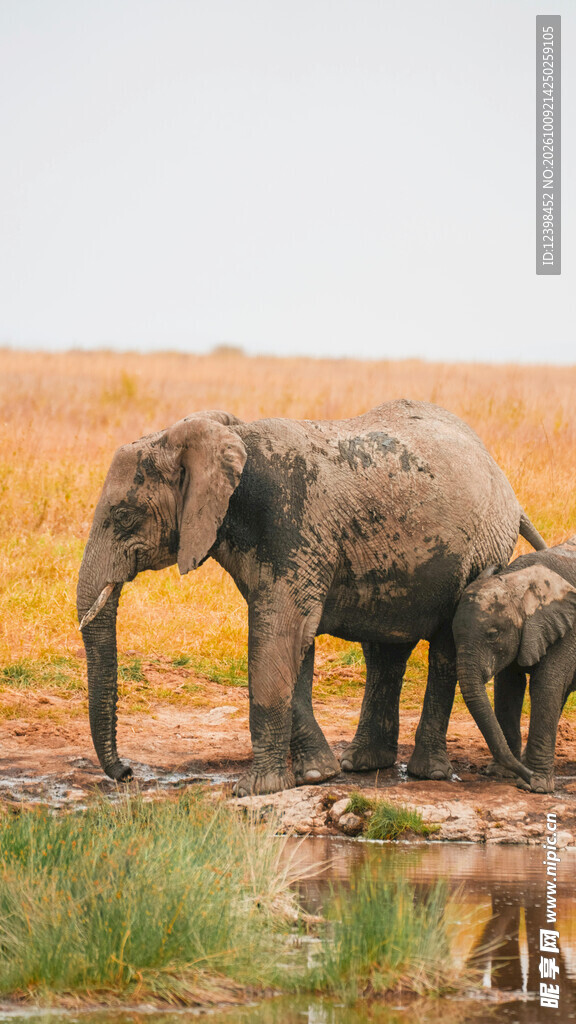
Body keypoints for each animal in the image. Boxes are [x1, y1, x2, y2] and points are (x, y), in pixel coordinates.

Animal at [77, 399, 546, 796]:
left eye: (124, 517)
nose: (127, 772)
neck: (228, 441)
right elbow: (293, 645)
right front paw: (317, 775)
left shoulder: (291, 523)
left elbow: (278, 637)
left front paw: (254, 790)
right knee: (386, 652)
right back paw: (363, 764)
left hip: (479, 552)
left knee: (445, 650)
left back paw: (425, 772)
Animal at [452, 538, 576, 792]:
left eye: (492, 634)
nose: (527, 776)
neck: (517, 580)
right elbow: (508, 688)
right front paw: (503, 774)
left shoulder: (569, 629)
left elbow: (546, 685)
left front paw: (536, 786)